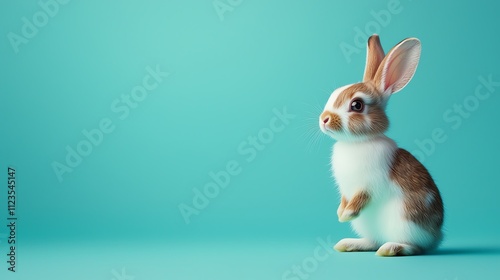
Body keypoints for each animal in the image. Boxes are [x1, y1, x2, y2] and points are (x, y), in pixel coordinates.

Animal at [318, 34, 444, 256]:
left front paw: (346, 215)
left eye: (357, 105)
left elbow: (360, 199)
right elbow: (345, 199)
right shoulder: (346, 189)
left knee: (415, 247)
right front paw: (340, 213)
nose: (324, 119)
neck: (357, 143)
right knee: (373, 241)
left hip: (406, 222)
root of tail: (437, 237)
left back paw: (392, 248)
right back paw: (348, 244)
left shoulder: (369, 184)